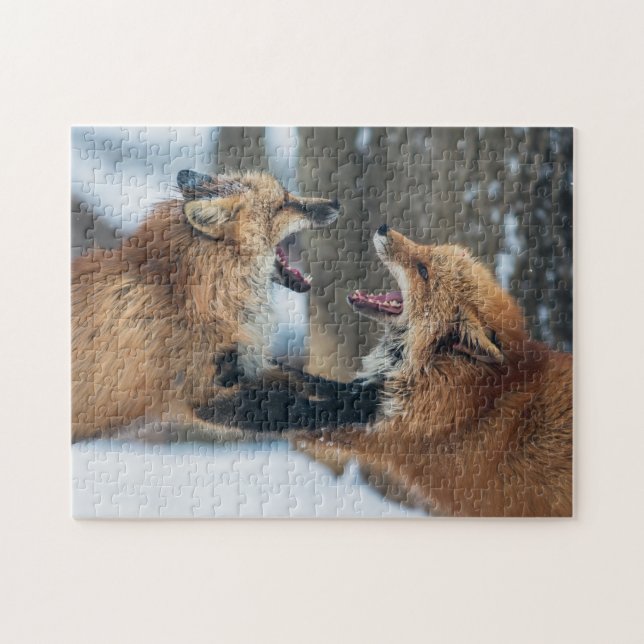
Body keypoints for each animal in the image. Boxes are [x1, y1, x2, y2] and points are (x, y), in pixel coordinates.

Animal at [72, 169, 343, 441]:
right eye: (283, 204)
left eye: (288, 195)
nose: (337, 202)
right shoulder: (202, 391)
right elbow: (299, 408)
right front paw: (345, 408)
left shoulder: (248, 363)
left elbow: (308, 380)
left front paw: (349, 391)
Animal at [299, 225, 573, 517]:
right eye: (428, 250)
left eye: (423, 271)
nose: (383, 228)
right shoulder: (376, 398)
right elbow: (311, 383)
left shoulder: (385, 435)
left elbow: (304, 413)